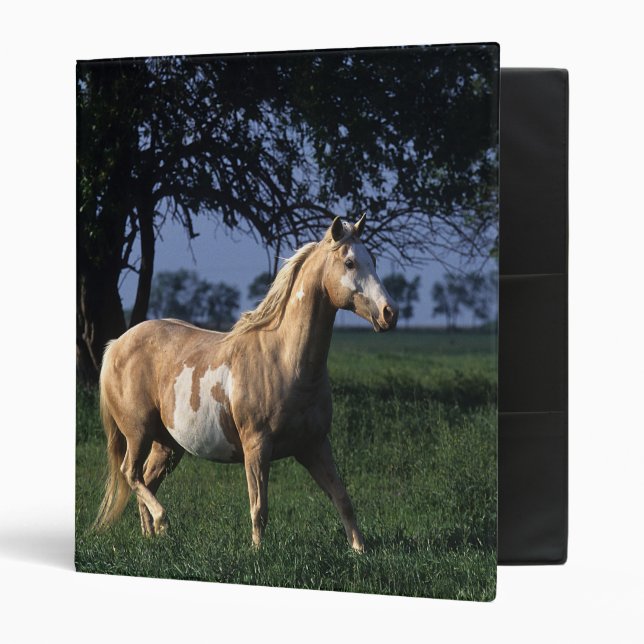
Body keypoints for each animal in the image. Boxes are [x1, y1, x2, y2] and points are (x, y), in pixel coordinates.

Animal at [93, 213, 398, 552]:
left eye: (373, 260)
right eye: (349, 262)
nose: (389, 313)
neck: (285, 361)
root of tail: (116, 344)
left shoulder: (315, 445)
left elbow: (342, 498)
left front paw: (359, 550)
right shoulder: (257, 447)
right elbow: (259, 506)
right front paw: (258, 552)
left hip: (167, 445)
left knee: (146, 479)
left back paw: (151, 536)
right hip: (138, 432)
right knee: (131, 474)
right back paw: (162, 522)